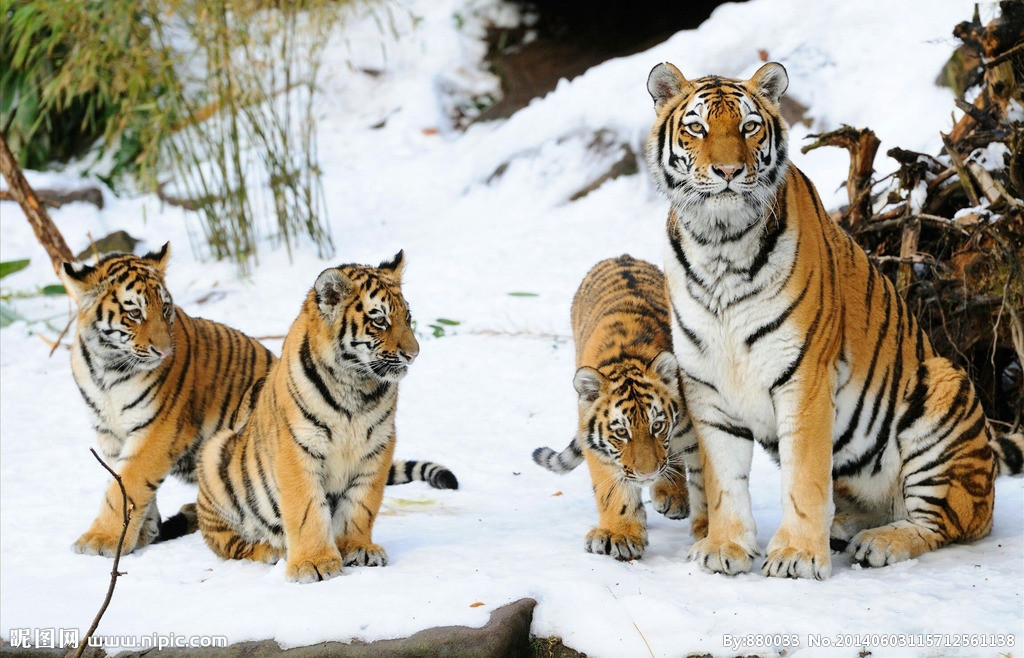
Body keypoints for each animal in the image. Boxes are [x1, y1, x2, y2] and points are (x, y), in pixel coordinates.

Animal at [60, 244, 275, 557]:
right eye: (134, 313)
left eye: (163, 308)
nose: (163, 351)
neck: (108, 367)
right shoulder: (108, 431)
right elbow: (121, 481)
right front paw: (140, 533)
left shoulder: (157, 429)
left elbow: (128, 483)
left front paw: (103, 539)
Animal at [195, 251, 456, 583]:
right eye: (380, 320)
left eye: (407, 317)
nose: (414, 354)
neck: (356, 386)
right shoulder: (297, 449)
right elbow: (307, 509)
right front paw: (314, 563)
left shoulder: (378, 446)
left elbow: (361, 504)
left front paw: (357, 548)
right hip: (215, 453)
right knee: (228, 543)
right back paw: (270, 550)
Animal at [532, 255, 702, 560]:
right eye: (621, 433)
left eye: (657, 426)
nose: (647, 474)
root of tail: (623, 257)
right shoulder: (595, 445)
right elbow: (612, 491)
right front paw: (619, 535)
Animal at [644, 60, 1024, 579]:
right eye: (696, 128)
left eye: (749, 126)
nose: (728, 171)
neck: (719, 243)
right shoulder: (707, 384)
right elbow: (724, 480)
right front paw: (726, 547)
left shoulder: (803, 375)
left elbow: (804, 476)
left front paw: (798, 556)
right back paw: (844, 527)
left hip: (943, 395)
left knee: (948, 522)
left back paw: (880, 542)